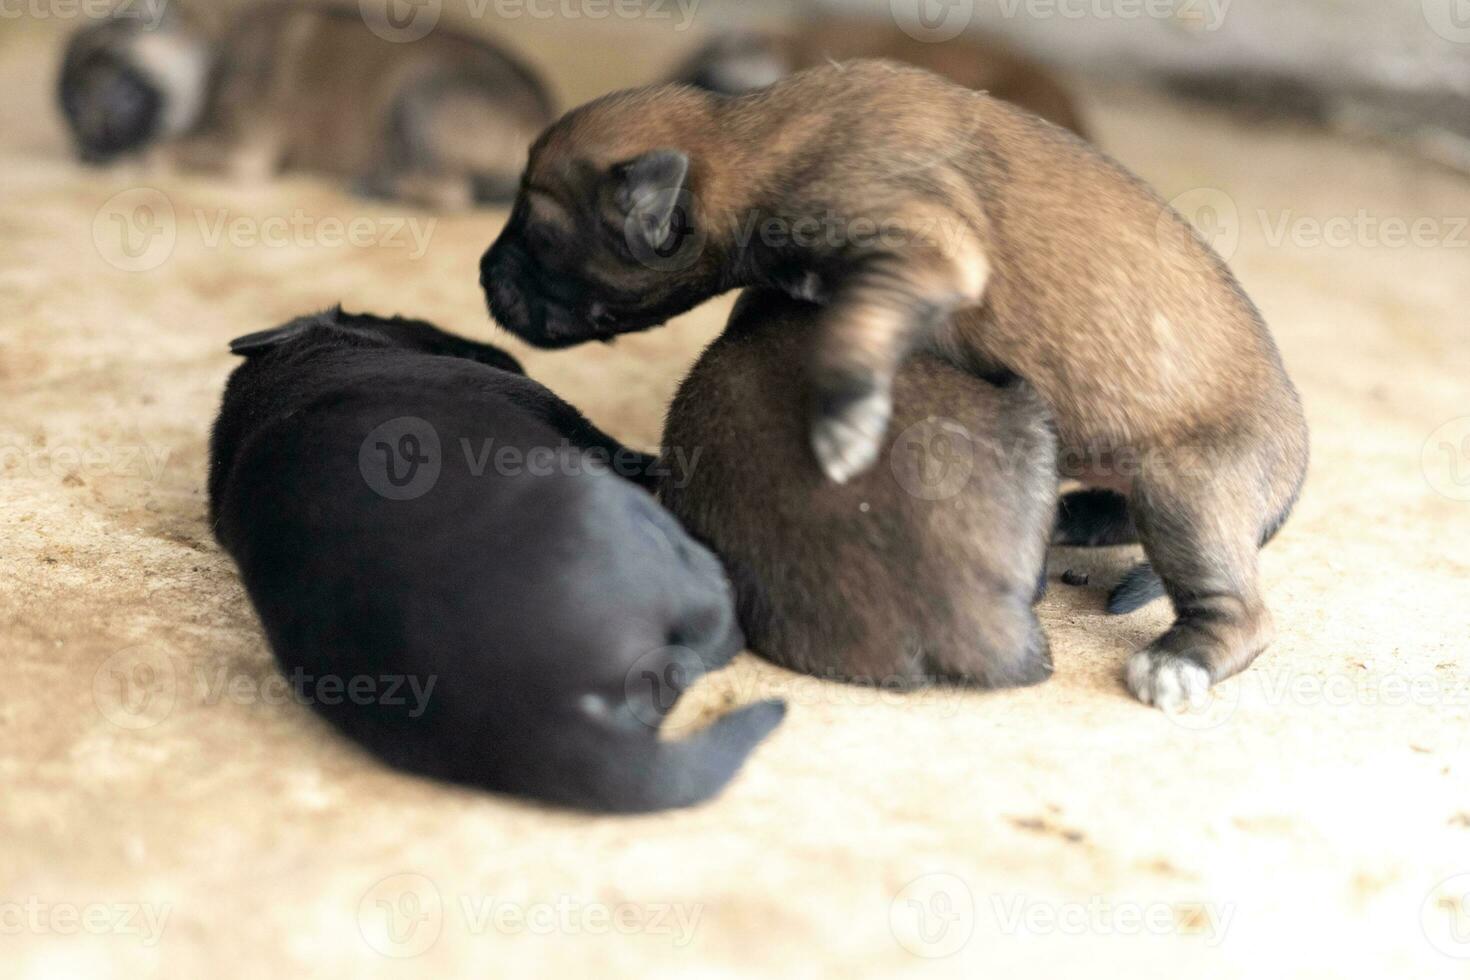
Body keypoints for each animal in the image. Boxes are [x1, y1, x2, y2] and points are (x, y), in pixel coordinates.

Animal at [55, 3, 552, 207]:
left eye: (122, 98)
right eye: (74, 119)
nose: (87, 153)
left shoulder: (241, 150)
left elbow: (159, 148)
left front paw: (130, 160)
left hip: (419, 97)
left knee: (448, 191)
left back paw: (377, 187)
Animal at [210, 310, 782, 816]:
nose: (503, 349)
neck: (279, 384)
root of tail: (556, 725)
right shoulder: (543, 403)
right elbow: (616, 446)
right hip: (613, 507)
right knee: (714, 629)